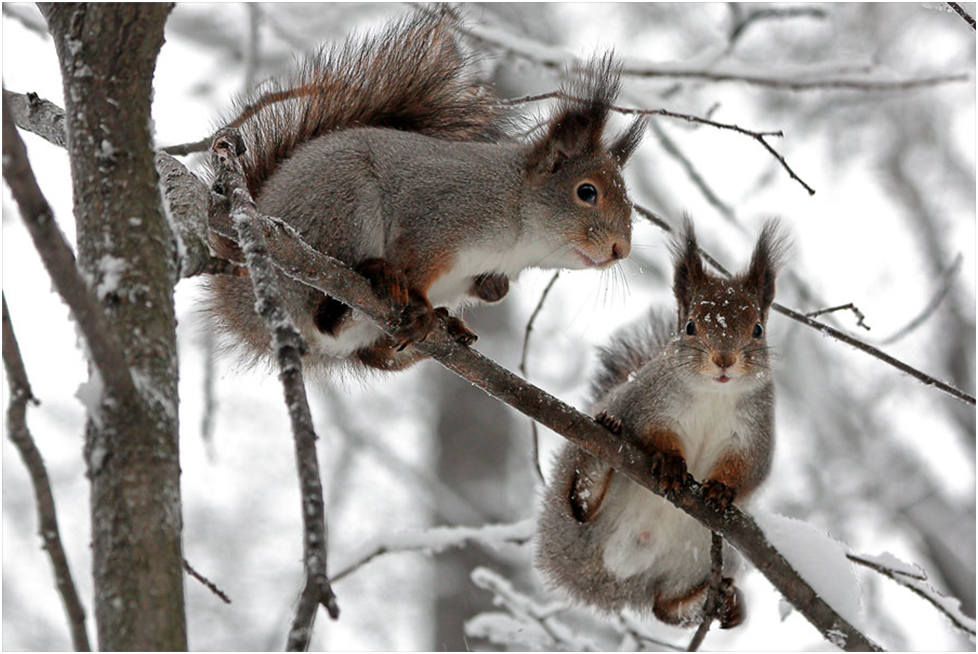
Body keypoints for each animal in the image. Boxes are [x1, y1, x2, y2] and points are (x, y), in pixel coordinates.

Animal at [205, 9, 644, 374]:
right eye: (586, 192)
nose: (621, 250)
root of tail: (237, 300)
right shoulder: (438, 217)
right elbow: (417, 260)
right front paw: (417, 299)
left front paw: (492, 289)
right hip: (341, 206)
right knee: (323, 313)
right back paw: (379, 282)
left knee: (371, 355)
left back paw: (444, 327)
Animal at [532, 219, 784, 632]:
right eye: (691, 326)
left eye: (758, 329)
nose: (724, 360)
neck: (715, 394)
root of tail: (609, 579)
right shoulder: (647, 405)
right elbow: (653, 436)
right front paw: (669, 462)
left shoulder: (755, 435)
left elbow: (749, 470)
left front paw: (721, 488)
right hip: (571, 506)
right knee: (580, 505)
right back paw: (600, 457)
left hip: (704, 557)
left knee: (664, 607)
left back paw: (717, 604)